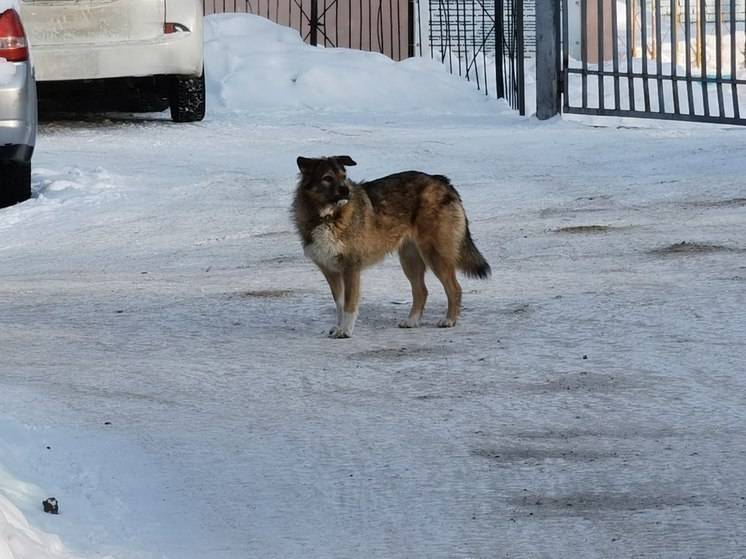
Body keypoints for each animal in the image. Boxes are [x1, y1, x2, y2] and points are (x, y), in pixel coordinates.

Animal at [294, 155, 492, 340]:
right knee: (421, 291)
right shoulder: (330, 271)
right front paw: (339, 326)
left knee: (454, 288)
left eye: (344, 176)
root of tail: (442, 181)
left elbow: (349, 304)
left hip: (435, 255)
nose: (346, 191)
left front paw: (346, 330)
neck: (328, 217)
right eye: (327, 178)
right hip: (410, 259)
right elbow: (340, 305)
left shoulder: (351, 268)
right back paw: (412, 321)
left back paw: (449, 320)